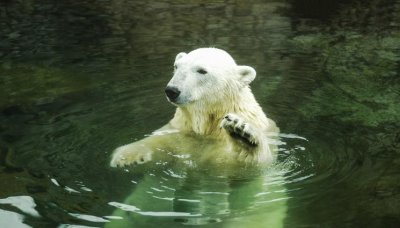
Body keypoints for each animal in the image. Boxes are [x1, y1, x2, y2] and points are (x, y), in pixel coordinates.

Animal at [109, 47, 278, 167]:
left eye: (202, 70)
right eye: (176, 66)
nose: (172, 91)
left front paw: (242, 134)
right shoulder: (182, 128)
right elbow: (161, 139)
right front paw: (124, 156)